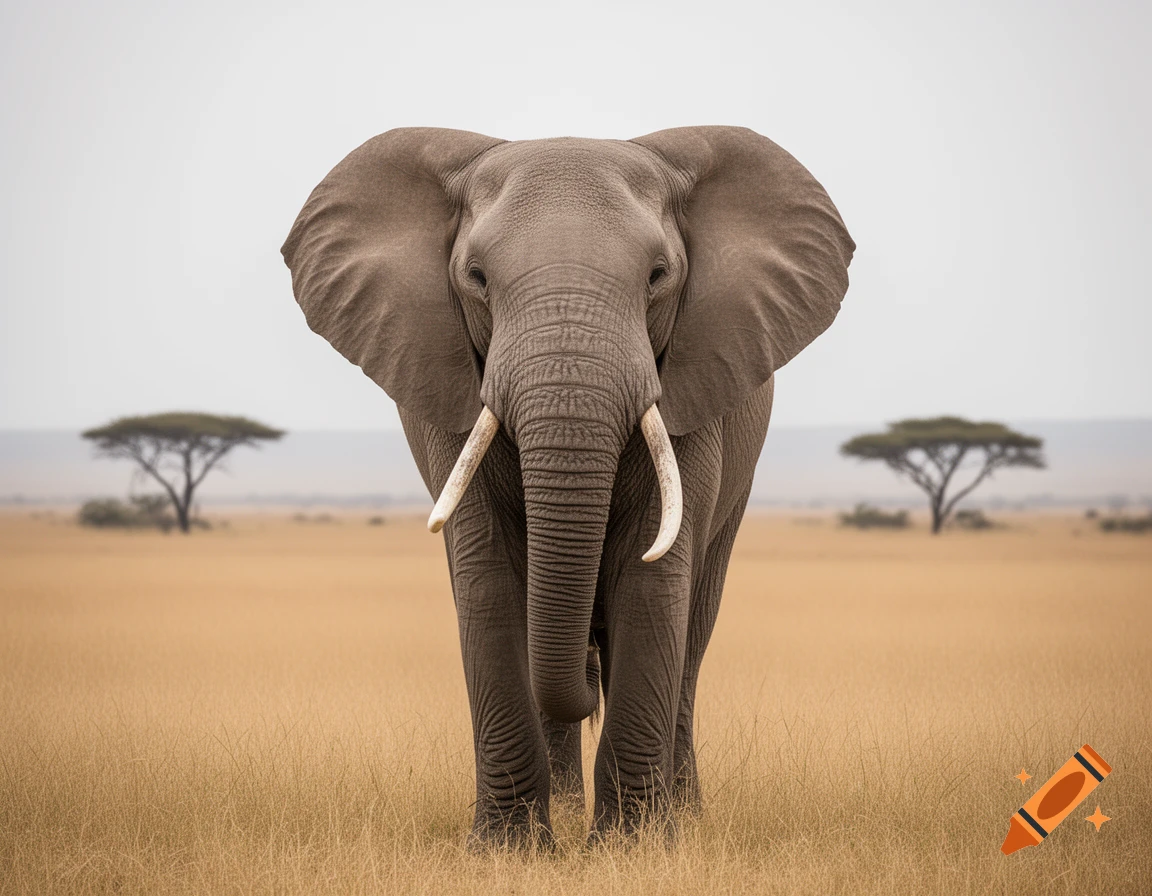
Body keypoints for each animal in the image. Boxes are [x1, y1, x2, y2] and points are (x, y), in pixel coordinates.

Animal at [281, 126, 853, 846]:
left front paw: (634, 848)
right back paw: (569, 799)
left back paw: (682, 811)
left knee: (693, 635)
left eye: (658, 276)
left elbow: (652, 582)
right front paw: (510, 849)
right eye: (476, 278)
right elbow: (488, 580)